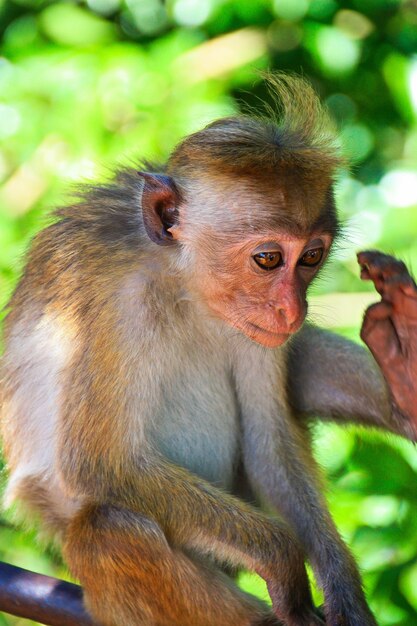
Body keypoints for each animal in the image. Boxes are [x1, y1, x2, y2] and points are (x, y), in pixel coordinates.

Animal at [0, 74, 416, 624]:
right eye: (268, 259)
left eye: (311, 257)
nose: (292, 308)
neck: (184, 285)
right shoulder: (114, 307)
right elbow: (102, 464)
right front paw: (285, 561)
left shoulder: (258, 330)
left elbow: (268, 443)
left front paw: (343, 587)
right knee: (105, 530)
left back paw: (404, 373)